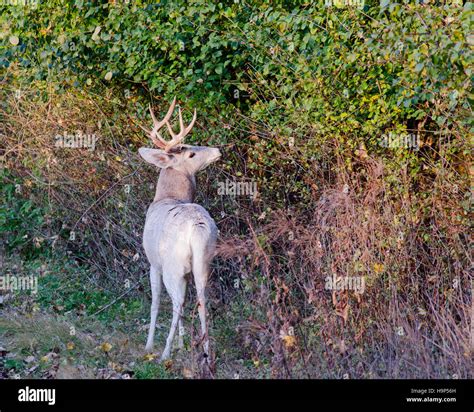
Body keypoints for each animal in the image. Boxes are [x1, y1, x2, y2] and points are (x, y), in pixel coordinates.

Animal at [135, 97, 220, 360]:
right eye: (191, 152)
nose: (218, 150)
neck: (167, 197)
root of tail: (198, 228)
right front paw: (183, 344)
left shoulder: (153, 262)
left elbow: (154, 302)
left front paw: (149, 344)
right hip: (204, 263)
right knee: (202, 300)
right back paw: (206, 350)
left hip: (173, 264)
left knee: (177, 302)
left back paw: (165, 352)